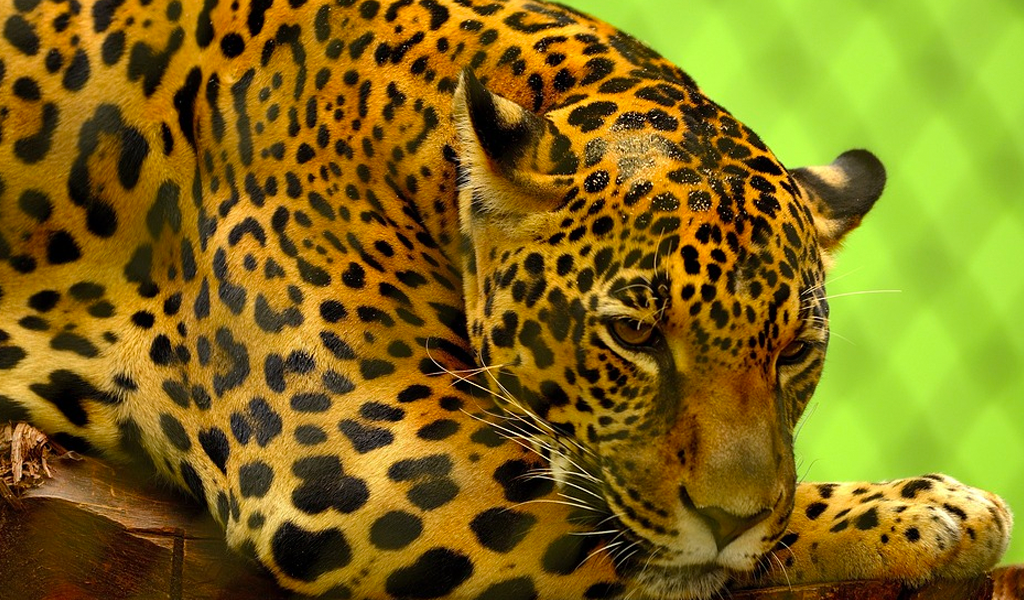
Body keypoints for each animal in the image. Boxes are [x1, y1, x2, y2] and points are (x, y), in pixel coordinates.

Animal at [0, 0, 1012, 598]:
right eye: (634, 333)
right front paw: (923, 511)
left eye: (794, 350)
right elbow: (660, 544)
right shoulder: (371, 467)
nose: (731, 517)